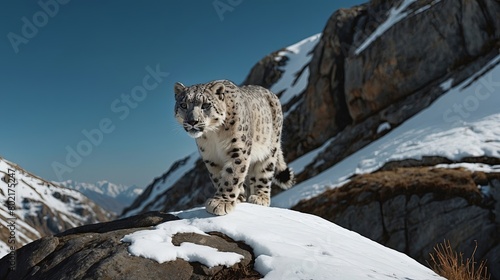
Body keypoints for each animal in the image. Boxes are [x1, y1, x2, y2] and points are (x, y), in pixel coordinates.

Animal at [175, 80, 294, 215]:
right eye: (183, 105)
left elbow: (232, 175)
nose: (192, 121)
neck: (213, 135)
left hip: (270, 148)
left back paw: (260, 197)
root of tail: (271, 93)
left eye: (205, 105)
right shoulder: (210, 157)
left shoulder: (238, 149)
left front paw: (221, 202)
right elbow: (218, 177)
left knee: (264, 171)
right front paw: (238, 197)